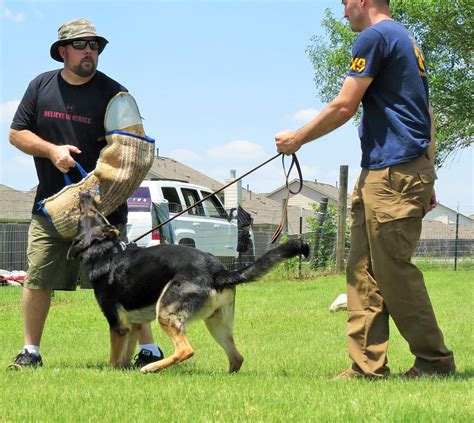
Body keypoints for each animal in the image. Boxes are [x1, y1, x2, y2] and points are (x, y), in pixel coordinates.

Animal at [68, 193, 310, 374]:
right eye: (96, 212)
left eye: (88, 213)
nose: (85, 194)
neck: (105, 251)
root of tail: (219, 271)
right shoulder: (133, 325)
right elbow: (125, 358)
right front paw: (125, 370)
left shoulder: (118, 326)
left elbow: (113, 359)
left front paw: (111, 373)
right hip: (216, 323)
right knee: (237, 358)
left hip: (166, 313)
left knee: (186, 350)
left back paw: (152, 368)